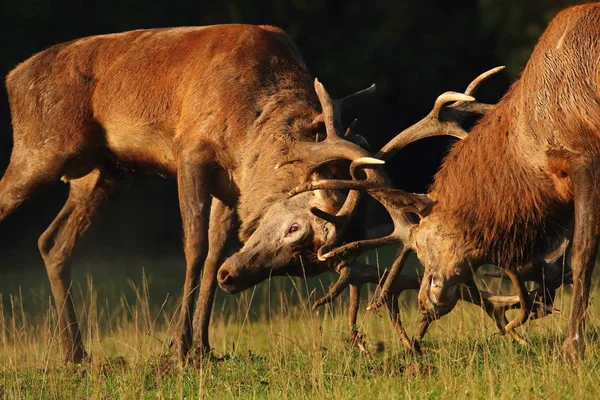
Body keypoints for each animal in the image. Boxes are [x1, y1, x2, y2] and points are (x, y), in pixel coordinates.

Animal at [3, 24, 398, 362]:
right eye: (296, 227)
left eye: (304, 267)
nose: (233, 279)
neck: (250, 127)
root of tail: (12, 79)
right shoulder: (191, 151)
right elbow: (194, 247)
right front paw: (179, 347)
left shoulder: (231, 186)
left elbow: (213, 254)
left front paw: (202, 347)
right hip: (39, 149)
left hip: (102, 174)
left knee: (53, 242)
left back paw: (75, 354)